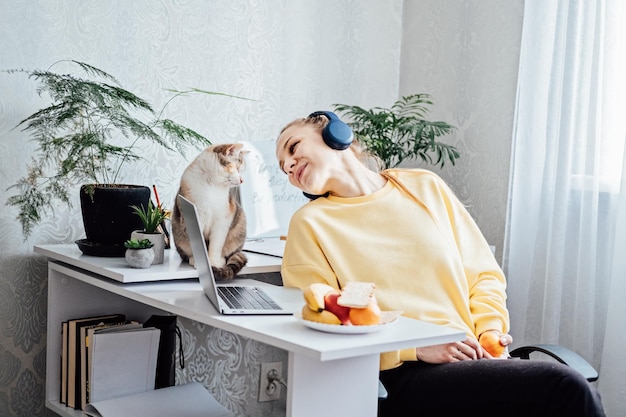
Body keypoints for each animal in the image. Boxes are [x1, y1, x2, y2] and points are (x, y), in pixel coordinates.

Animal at [172, 143, 250, 280]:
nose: (242, 180)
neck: (212, 185)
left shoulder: (223, 219)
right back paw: (193, 259)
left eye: (240, 170)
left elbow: (216, 244)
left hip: (240, 222)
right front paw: (202, 262)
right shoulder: (195, 217)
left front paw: (213, 262)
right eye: (235, 167)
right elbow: (199, 242)